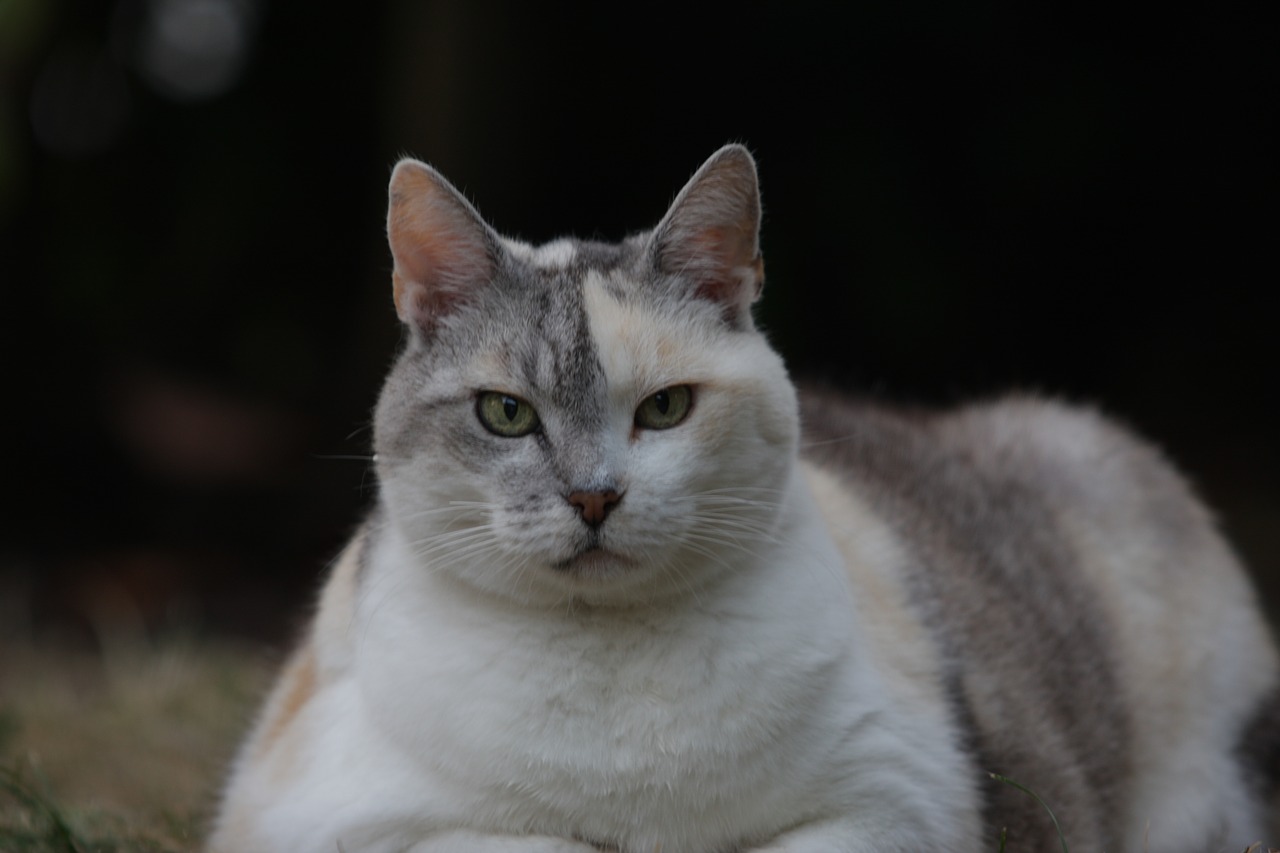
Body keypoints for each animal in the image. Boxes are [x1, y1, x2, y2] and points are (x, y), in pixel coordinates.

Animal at [209, 142, 1280, 845]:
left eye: (666, 409)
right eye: (507, 414)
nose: (594, 498)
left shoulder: (894, 801)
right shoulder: (333, 817)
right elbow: (534, 840)